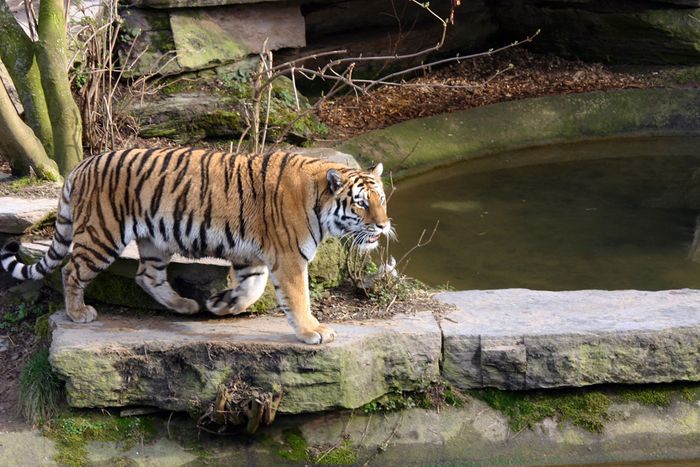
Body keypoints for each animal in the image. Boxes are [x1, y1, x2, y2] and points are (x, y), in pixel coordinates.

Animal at [0, 148, 388, 346]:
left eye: (382, 200)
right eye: (360, 204)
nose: (384, 226)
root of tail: (80, 165)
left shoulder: (254, 255)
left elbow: (252, 287)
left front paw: (222, 305)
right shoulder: (289, 258)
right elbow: (298, 297)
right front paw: (313, 331)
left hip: (155, 240)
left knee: (146, 276)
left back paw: (185, 305)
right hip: (102, 233)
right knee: (71, 270)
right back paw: (78, 312)